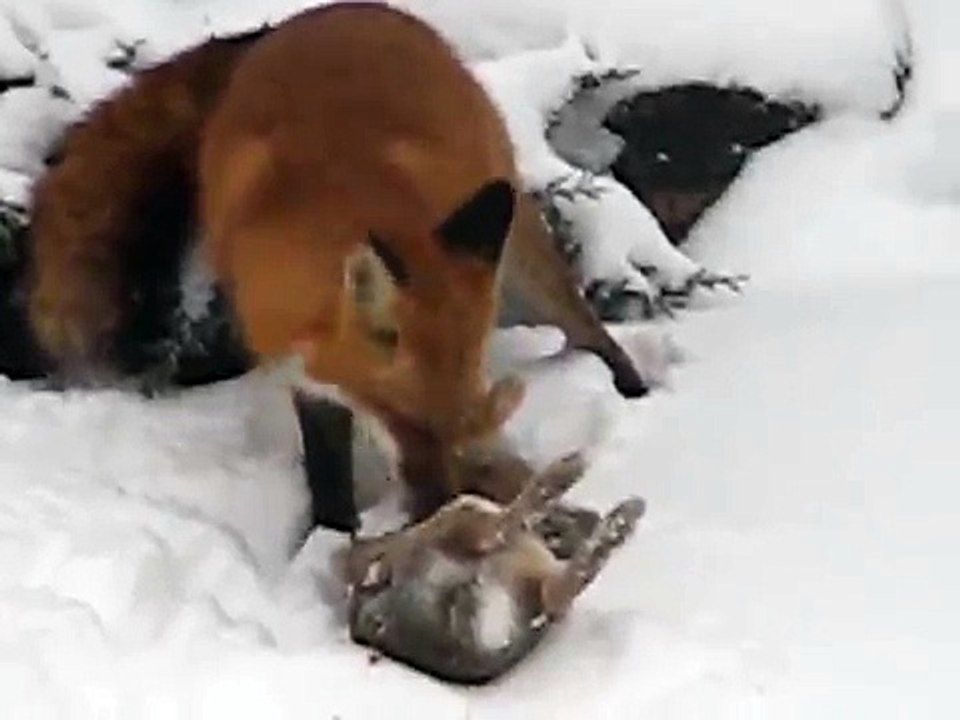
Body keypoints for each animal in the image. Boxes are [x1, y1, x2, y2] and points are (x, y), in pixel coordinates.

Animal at [27, 3, 648, 518]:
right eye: (409, 422)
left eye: (464, 418)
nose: (442, 503)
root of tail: (316, 14)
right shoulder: (304, 379)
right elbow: (328, 479)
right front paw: (334, 535)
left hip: (518, 241)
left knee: (590, 330)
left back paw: (638, 395)